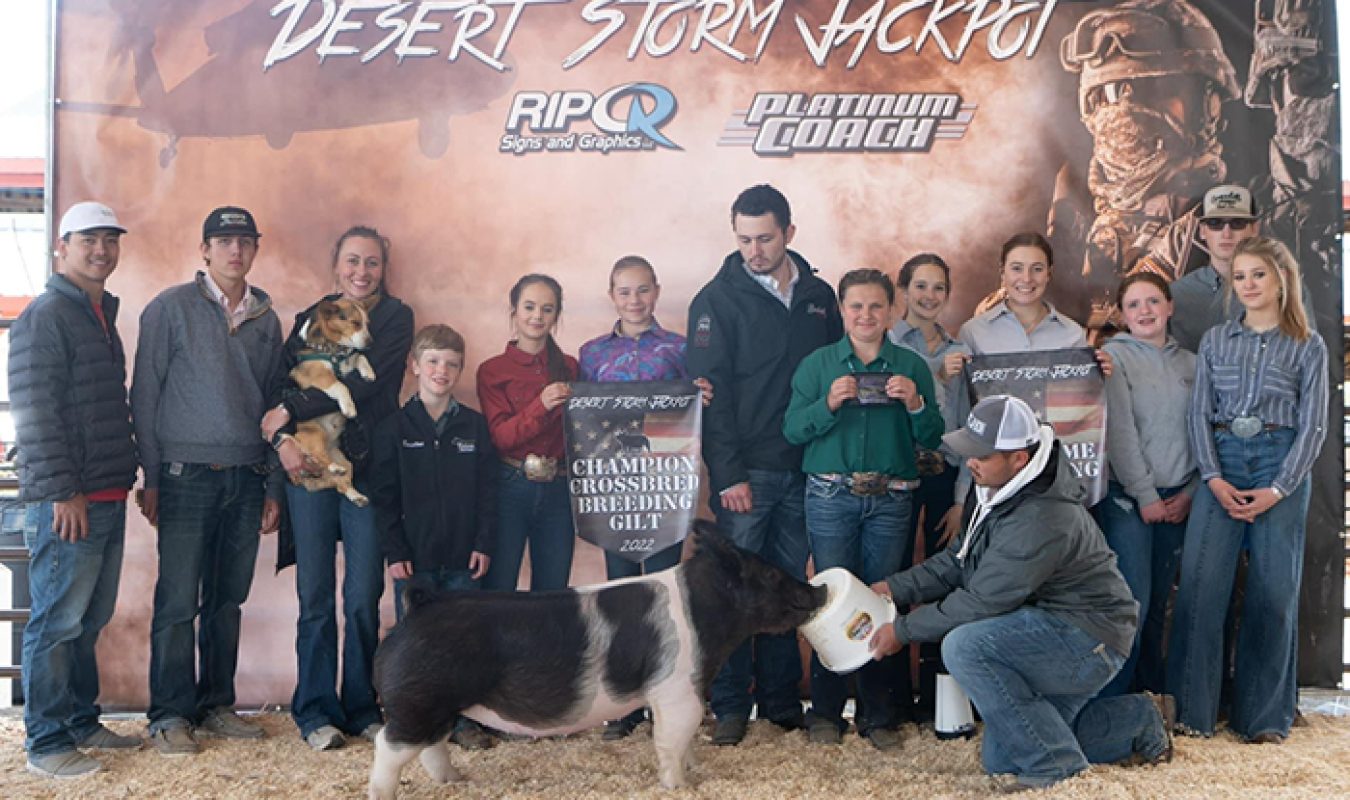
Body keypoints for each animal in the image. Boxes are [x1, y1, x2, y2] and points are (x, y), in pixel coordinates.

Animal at [288, 299, 375, 504]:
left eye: (367, 323)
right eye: (355, 323)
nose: (371, 343)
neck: (335, 349)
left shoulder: (348, 362)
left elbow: (360, 357)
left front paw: (369, 373)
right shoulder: (322, 376)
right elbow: (341, 386)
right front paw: (349, 408)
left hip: (346, 460)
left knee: (341, 484)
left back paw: (355, 495)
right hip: (315, 434)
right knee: (318, 456)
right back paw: (332, 467)